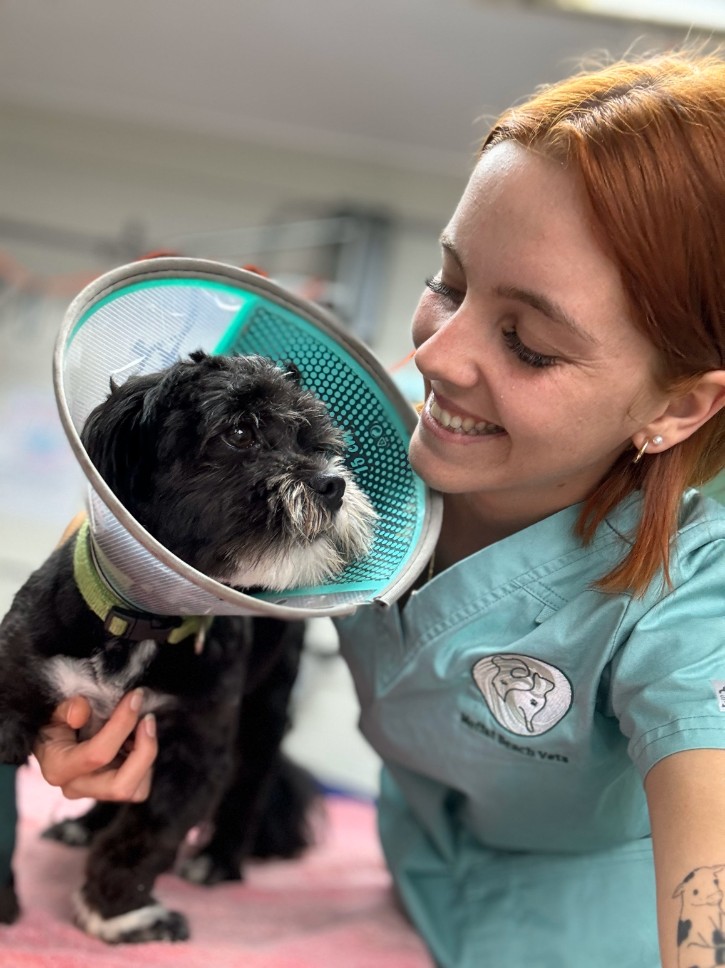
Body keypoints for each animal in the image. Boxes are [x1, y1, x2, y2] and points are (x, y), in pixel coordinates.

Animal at [0, 352, 374, 940]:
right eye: (240, 432)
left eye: (313, 438)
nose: (333, 483)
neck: (145, 621)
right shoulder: (13, 691)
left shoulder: (196, 753)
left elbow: (146, 837)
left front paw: (118, 913)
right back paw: (86, 825)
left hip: (265, 707)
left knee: (249, 785)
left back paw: (219, 859)